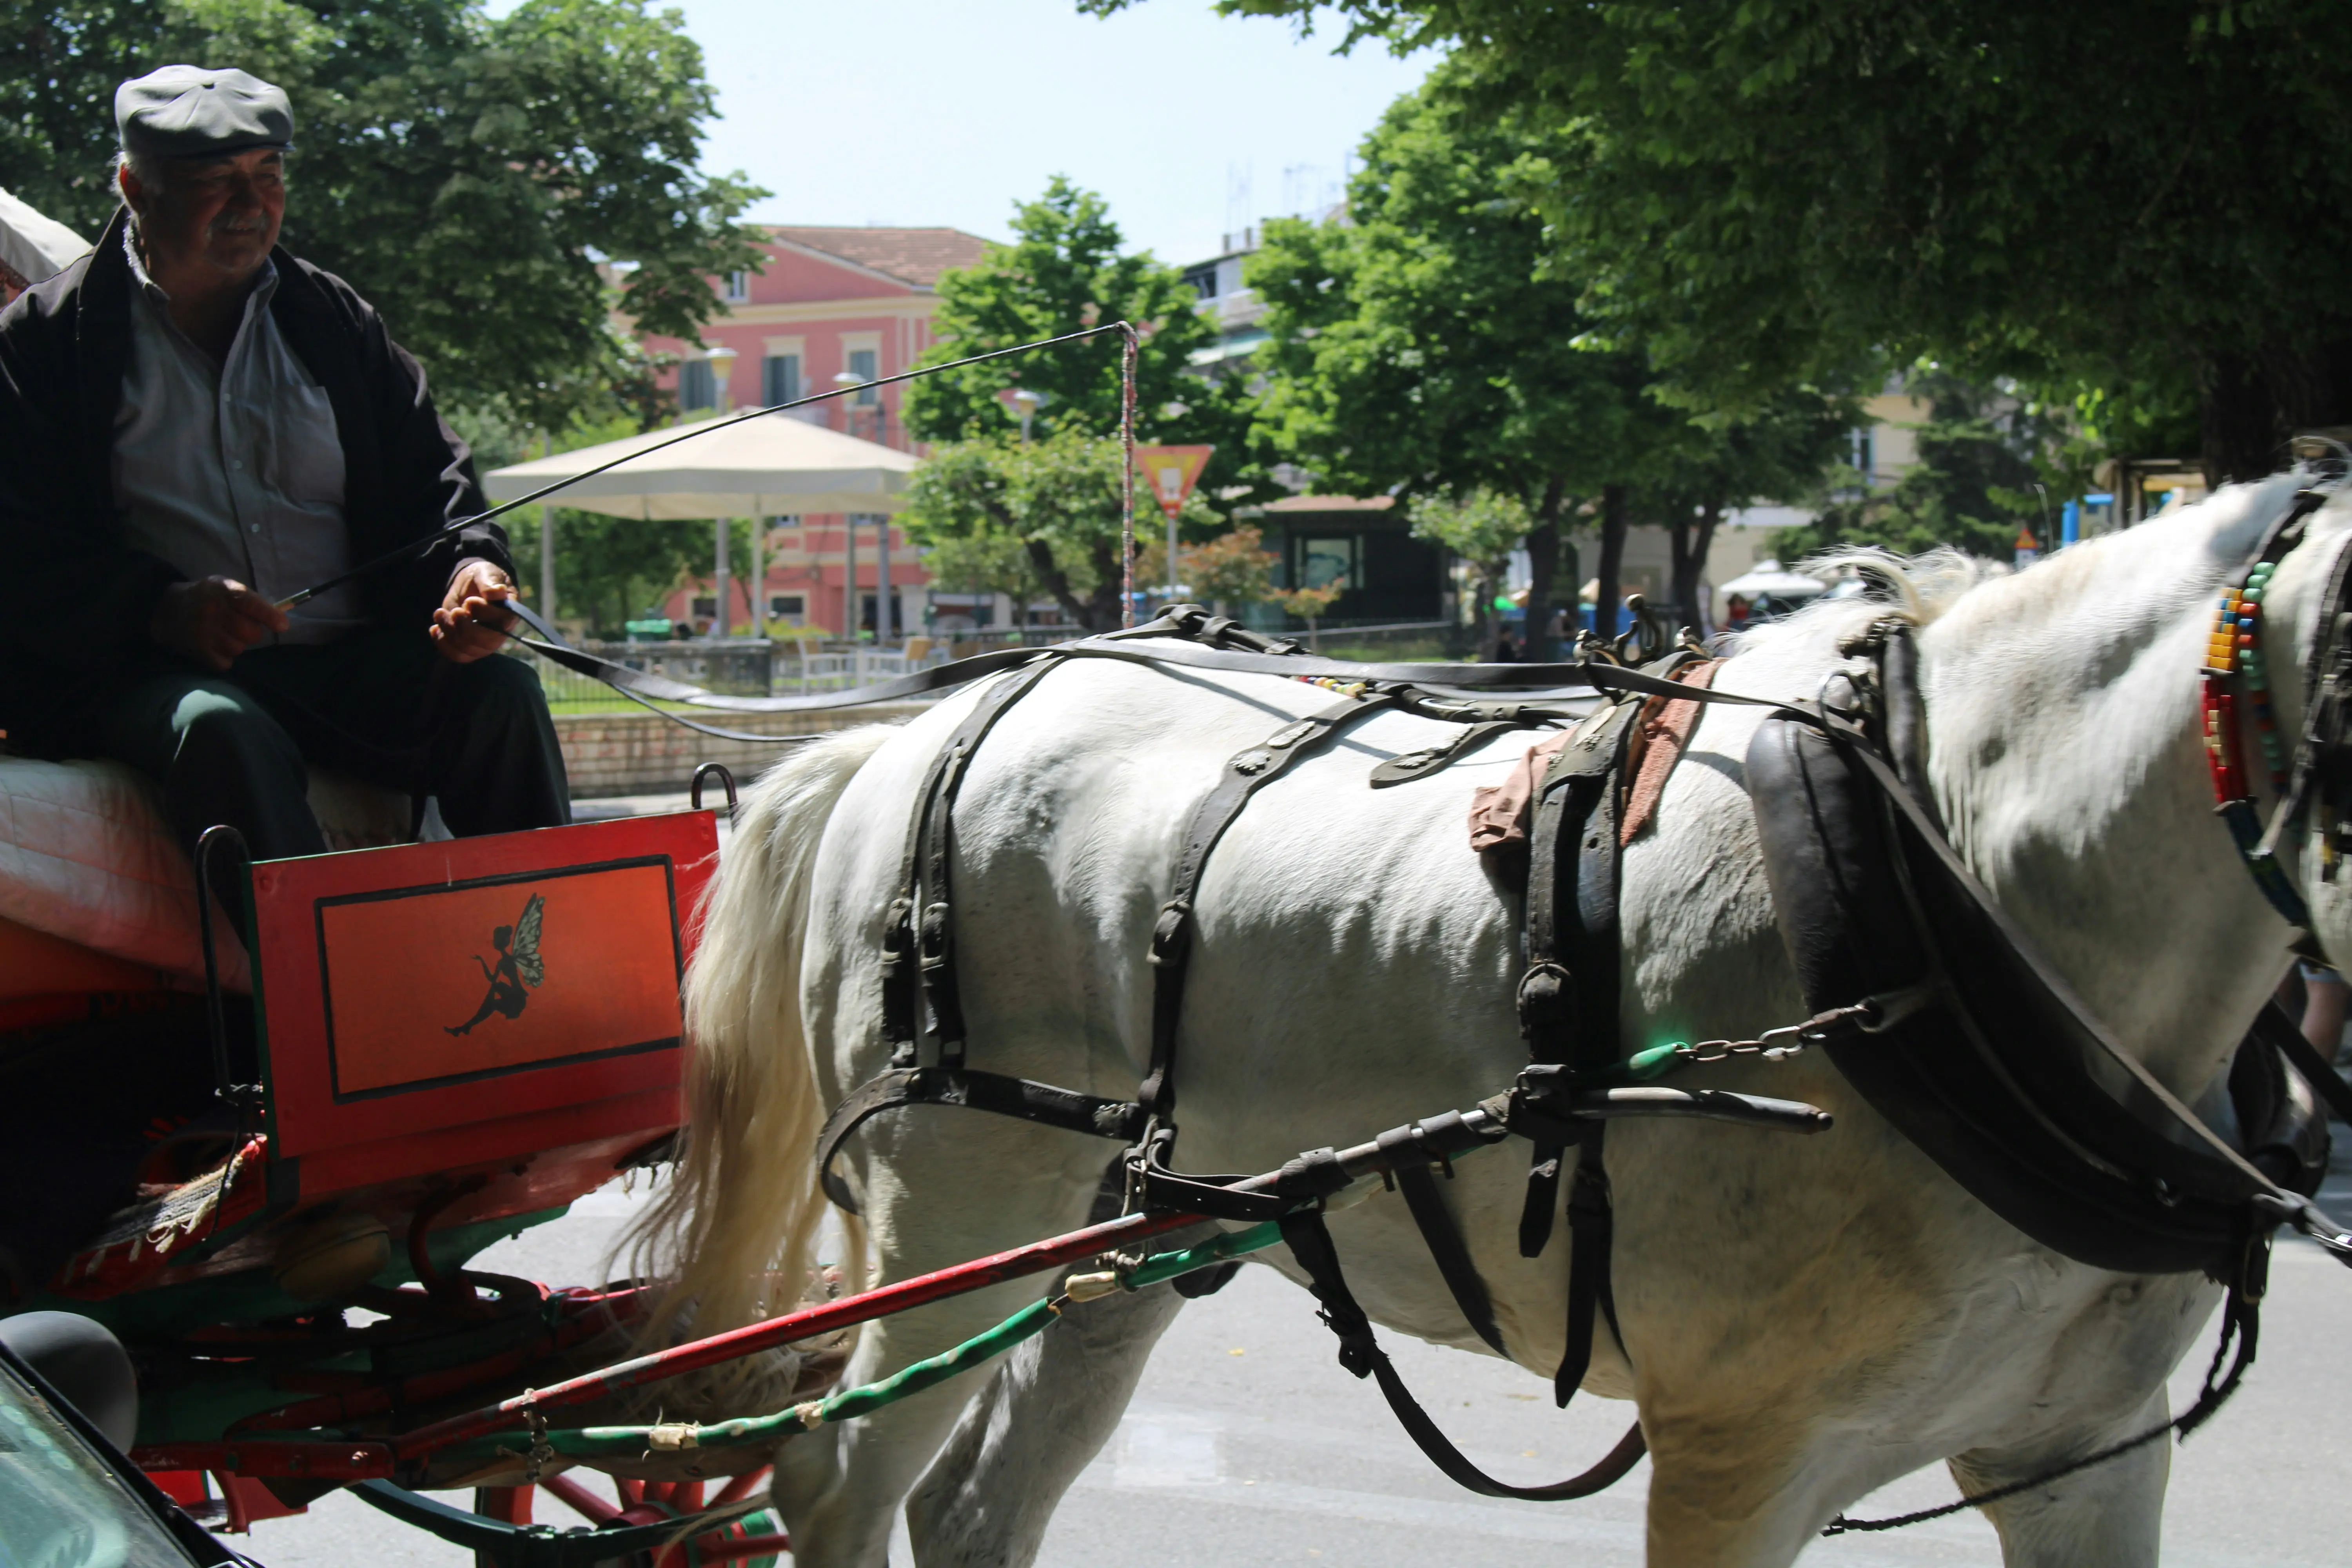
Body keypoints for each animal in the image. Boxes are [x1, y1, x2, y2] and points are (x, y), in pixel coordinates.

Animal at [639, 472, 2352, 1566]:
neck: (1940, 893)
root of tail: (909, 729)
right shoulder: (1742, 1457)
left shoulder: (2085, 1457)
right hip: (952, 1220)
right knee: (835, 1483)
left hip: (1121, 1246)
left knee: (972, 1512)